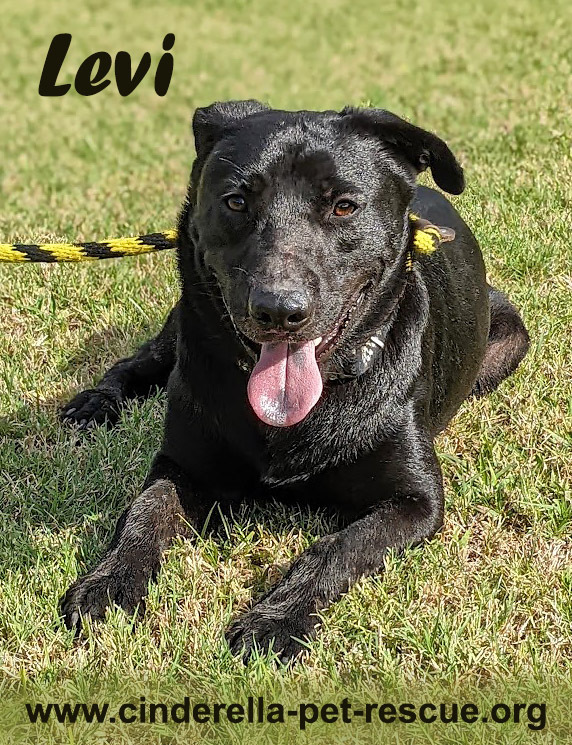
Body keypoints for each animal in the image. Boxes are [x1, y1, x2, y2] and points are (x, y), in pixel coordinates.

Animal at [60, 100, 528, 664]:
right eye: (236, 201)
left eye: (344, 207)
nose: (278, 312)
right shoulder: (181, 462)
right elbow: (145, 512)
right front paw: (109, 582)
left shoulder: (416, 503)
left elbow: (341, 547)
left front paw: (278, 617)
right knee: (141, 361)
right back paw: (97, 402)